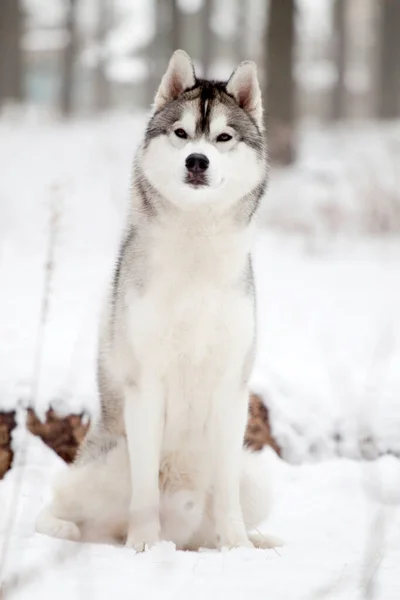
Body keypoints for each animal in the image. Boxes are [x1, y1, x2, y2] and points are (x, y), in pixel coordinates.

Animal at [36, 51, 278, 552]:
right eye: (181, 133)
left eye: (223, 137)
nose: (197, 160)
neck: (196, 245)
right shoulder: (146, 385)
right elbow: (144, 488)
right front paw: (145, 544)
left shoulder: (232, 388)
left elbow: (228, 494)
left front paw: (238, 548)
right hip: (112, 456)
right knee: (63, 510)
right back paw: (74, 532)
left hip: (257, 480)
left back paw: (248, 540)